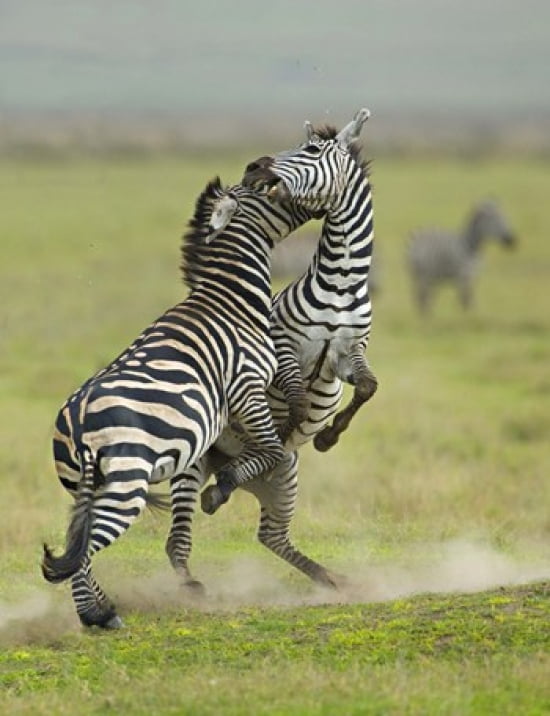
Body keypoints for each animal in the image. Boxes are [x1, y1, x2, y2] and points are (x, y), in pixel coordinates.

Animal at [43, 174, 318, 628]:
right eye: (265, 191)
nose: (272, 174)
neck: (231, 302)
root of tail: (79, 422)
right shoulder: (246, 387)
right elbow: (273, 451)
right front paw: (224, 486)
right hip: (125, 484)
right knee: (85, 548)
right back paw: (96, 615)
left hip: (82, 486)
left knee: (77, 542)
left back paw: (103, 608)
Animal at [167, 108, 377, 590]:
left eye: (312, 150)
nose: (256, 166)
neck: (341, 282)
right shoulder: (285, 344)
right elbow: (296, 400)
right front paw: (295, 429)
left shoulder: (348, 352)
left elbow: (367, 387)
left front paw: (330, 436)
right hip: (196, 463)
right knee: (186, 530)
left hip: (285, 481)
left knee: (271, 535)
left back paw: (331, 578)